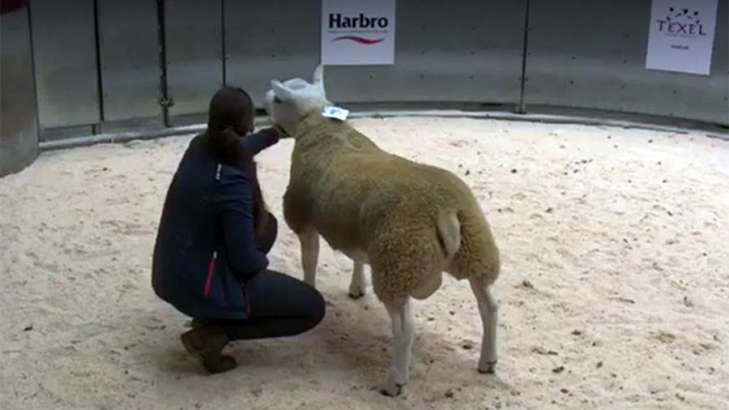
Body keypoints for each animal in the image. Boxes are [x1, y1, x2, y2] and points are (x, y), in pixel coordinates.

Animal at [264, 66, 501, 396]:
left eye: (277, 98)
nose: (262, 104)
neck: (321, 128)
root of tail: (446, 211)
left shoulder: (305, 222)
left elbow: (309, 263)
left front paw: (310, 290)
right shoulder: (355, 228)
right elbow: (357, 256)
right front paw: (356, 287)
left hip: (398, 264)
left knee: (405, 328)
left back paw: (395, 381)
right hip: (474, 251)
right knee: (489, 306)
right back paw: (487, 361)